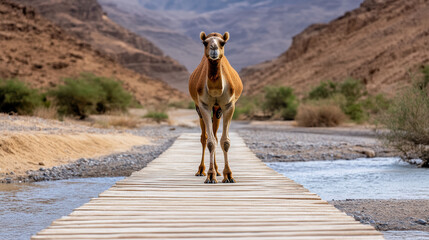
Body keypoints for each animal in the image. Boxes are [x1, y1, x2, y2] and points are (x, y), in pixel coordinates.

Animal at [189, 31, 242, 184]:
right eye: (205, 43)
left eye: (222, 43)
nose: (213, 48)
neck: (216, 90)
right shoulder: (204, 105)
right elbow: (210, 142)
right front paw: (210, 176)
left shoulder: (228, 105)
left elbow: (225, 141)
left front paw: (228, 175)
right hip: (201, 109)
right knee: (204, 137)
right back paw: (201, 170)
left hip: (217, 110)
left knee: (216, 135)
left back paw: (218, 171)